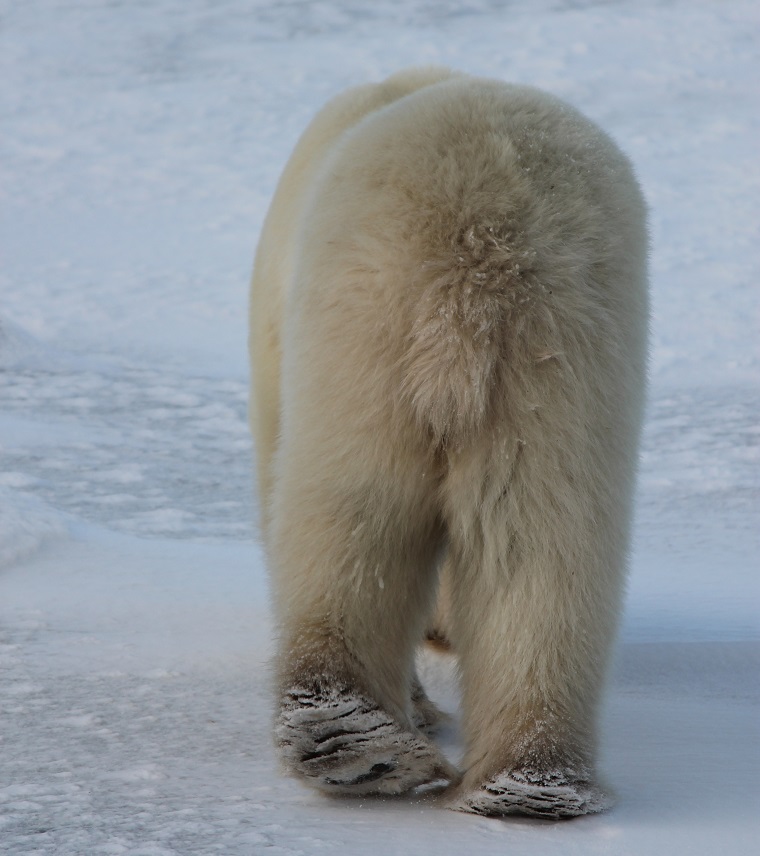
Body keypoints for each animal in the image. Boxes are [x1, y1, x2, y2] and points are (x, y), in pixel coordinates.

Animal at [249, 67, 648, 816]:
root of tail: (479, 253)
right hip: (562, 364)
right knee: (545, 545)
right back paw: (528, 781)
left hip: (364, 341)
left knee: (348, 520)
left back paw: (356, 743)